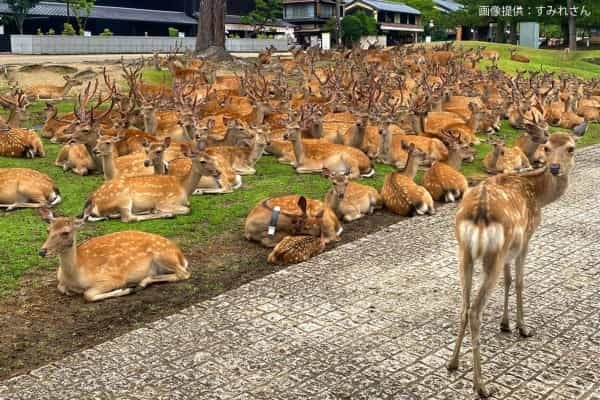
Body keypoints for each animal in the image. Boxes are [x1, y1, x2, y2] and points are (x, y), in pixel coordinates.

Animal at [37, 208, 190, 302]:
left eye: (65, 232)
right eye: (48, 230)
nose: (42, 251)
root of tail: (180, 255)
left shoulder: (112, 278)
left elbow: (88, 294)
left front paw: (125, 289)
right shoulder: (60, 280)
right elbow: (61, 287)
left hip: (163, 255)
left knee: (184, 274)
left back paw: (138, 284)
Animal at [448, 132, 580, 396]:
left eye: (570, 148)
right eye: (546, 147)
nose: (555, 167)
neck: (538, 196)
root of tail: (478, 212)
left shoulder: (509, 249)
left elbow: (508, 281)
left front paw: (505, 324)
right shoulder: (526, 237)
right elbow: (519, 282)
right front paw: (523, 328)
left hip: (464, 252)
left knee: (464, 306)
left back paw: (453, 363)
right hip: (493, 254)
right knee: (475, 310)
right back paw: (481, 386)